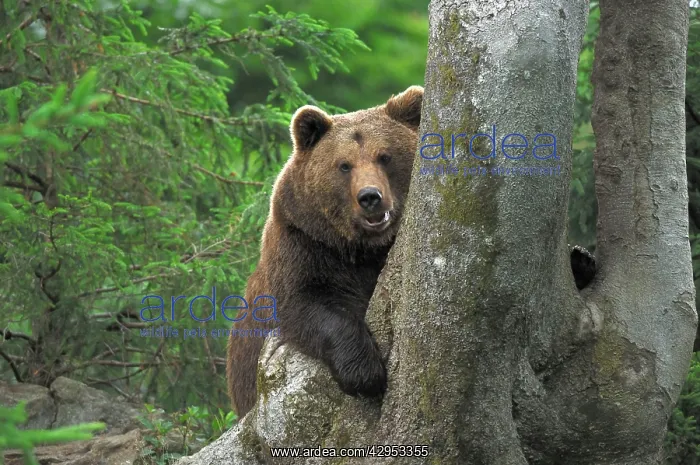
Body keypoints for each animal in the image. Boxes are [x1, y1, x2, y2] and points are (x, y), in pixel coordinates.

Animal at [226, 85, 425, 418]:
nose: (370, 197)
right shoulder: (304, 242)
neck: (360, 247)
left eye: (384, 156)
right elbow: (308, 303)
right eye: (344, 165)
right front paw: (365, 374)